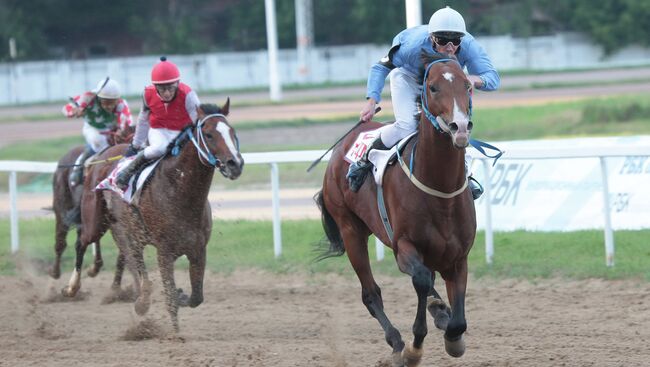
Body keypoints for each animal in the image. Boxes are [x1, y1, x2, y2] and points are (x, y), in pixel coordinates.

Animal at [62, 101, 243, 334]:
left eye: (232, 132)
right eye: (209, 134)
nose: (235, 164)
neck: (180, 192)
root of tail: (104, 154)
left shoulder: (198, 249)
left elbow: (196, 297)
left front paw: (181, 296)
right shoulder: (164, 251)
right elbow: (171, 297)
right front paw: (175, 334)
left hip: (126, 230)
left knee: (132, 259)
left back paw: (141, 298)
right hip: (95, 221)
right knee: (82, 242)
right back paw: (72, 287)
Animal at [316, 53, 474, 366]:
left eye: (467, 85)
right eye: (433, 87)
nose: (459, 128)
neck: (441, 192)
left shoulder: (458, 256)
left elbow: (458, 318)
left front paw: (452, 334)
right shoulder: (404, 246)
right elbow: (420, 279)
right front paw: (413, 348)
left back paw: (439, 310)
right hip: (351, 230)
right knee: (371, 293)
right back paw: (398, 341)